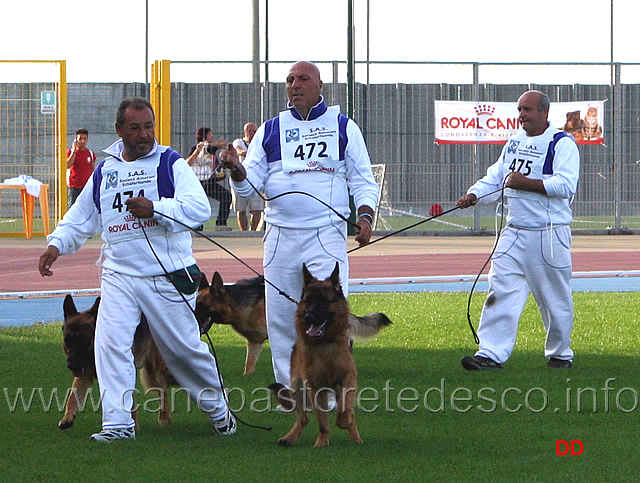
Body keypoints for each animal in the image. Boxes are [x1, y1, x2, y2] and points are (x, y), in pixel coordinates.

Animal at [59, 294, 174, 432]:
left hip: (153, 372)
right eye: (67, 340)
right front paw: (67, 418)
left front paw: (133, 427)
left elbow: (130, 404)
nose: (71, 365)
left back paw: (164, 418)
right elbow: (72, 397)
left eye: (84, 341)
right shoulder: (84, 376)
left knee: (163, 389)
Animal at [272, 264, 390, 450]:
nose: (309, 317)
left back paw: (356, 439)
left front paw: (343, 422)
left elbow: (344, 408)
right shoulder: (315, 387)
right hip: (298, 386)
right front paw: (321, 442)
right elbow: (322, 421)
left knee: (349, 413)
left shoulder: (347, 379)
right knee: (302, 418)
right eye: (308, 301)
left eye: (324, 302)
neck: (324, 344)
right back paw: (290, 436)